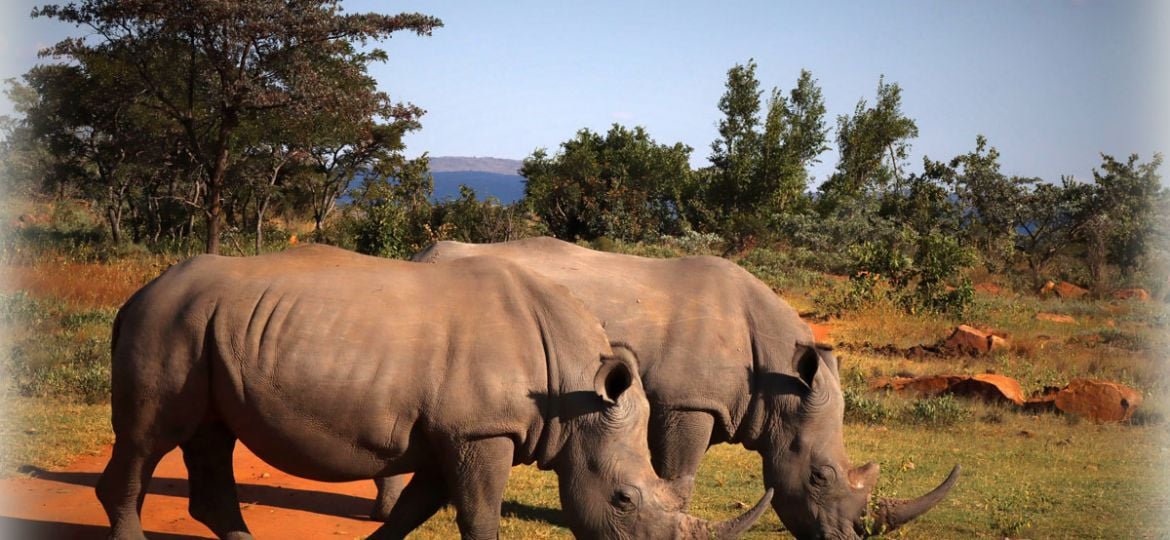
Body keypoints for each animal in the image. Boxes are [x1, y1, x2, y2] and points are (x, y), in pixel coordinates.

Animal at [95, 245, 772, 540]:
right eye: (626, 501)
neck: (573, 391)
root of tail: (135, 296)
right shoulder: (482, 431)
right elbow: (478, 517)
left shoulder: (453, 433)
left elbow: (417, 509)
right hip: (168, 324)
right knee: (150, 437)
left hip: (203, 327)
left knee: (209, 436)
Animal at [393, 239, 959, 540]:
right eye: (820, 476)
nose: (846, 537)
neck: (779, 380)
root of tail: (421, 256)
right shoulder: (687, 402)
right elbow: (680, 468)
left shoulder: (697, 400)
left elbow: (676, 474)